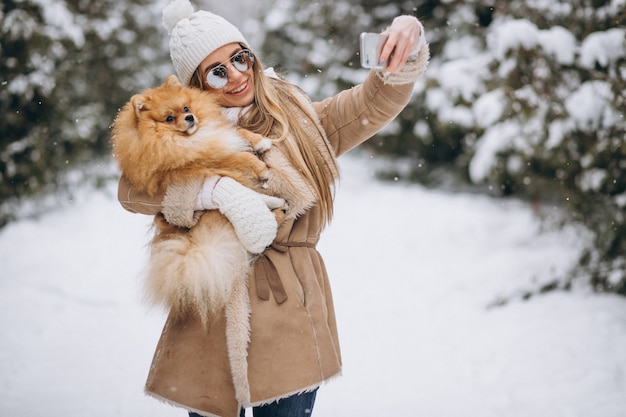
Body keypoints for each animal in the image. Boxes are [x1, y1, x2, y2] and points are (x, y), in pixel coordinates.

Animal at [111, 75, 282, 324]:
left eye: (186, 108)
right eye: (169, 118)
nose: (190, 118)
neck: (188, 140)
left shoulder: (217, 135)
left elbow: (237, 130)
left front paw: (259, 141)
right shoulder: (209, 161)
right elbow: (239, 157)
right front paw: (261, 169)